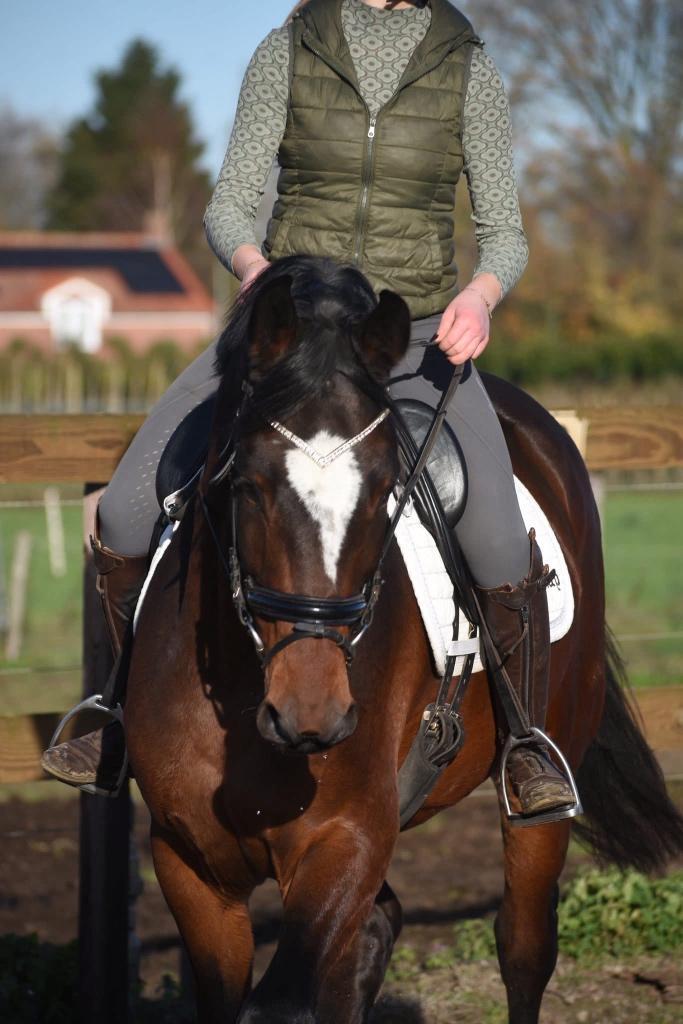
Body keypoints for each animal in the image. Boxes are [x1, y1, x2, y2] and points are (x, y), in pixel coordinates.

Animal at [125, 256, 683, 1024]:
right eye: (249, 485)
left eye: (386, 489)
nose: (313, 714)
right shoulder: (190, 866)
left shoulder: (345, 842)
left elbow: (283, 1003)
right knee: (376, 934)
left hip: (543, 783)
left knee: (523, 944)